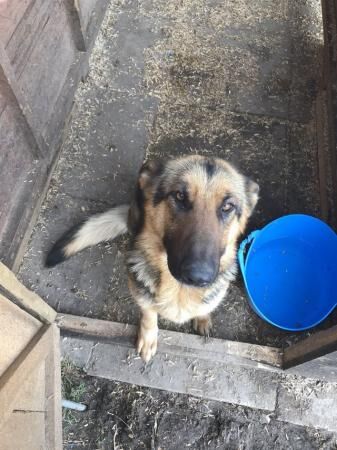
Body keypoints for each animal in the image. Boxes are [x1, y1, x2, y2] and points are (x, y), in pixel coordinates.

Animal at [46, 155, 258, 362]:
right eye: (179, 196)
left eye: (228, 206)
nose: (198, 277)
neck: (178, 290)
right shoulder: (141, 296)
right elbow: (149, 316)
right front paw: (148, 339)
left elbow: (206, 307)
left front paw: (203, 318)